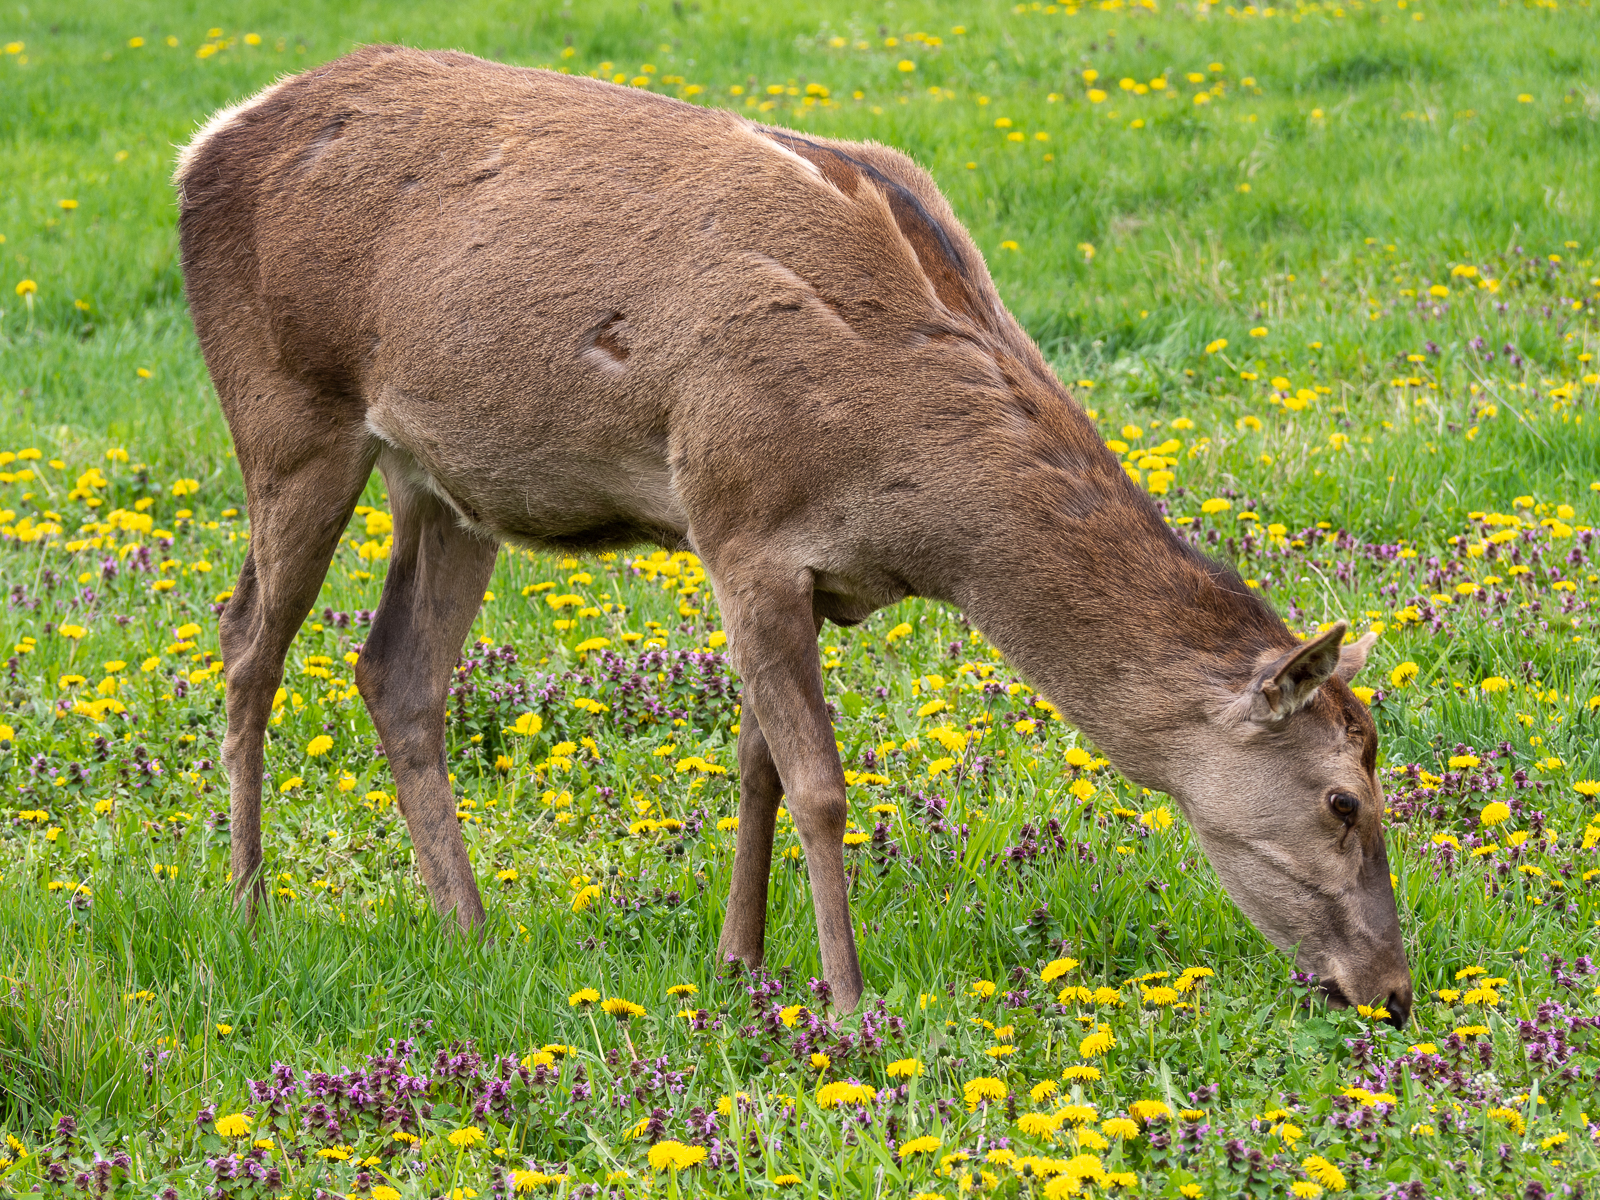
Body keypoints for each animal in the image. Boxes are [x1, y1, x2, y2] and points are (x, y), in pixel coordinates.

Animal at [178, 47, 1414, 1024]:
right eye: (1343, 802)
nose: (1394, 993)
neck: (924, 513)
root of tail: (204, 143)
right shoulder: (739, 521)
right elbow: (820, 785)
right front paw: (849, 996)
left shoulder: (808, 575)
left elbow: (756, 766)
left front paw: (740, 963)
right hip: (289, 413)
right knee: (246, 643)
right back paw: (246, 907)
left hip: (444, 484)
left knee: (394, 669)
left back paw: (469, 928)